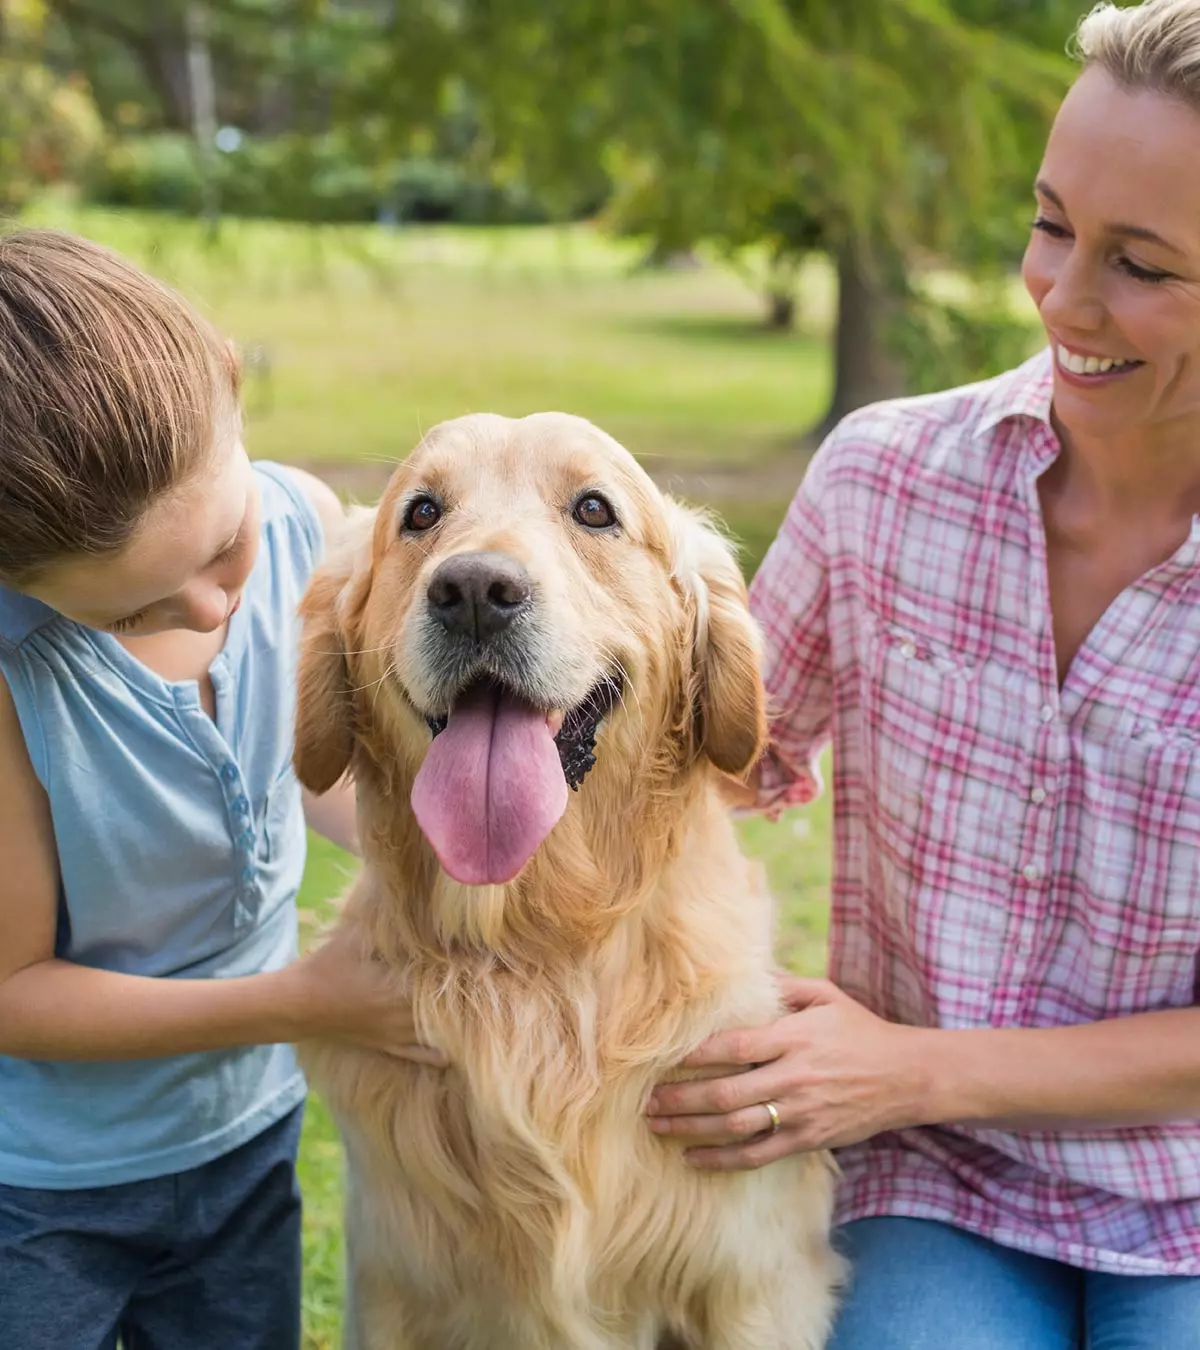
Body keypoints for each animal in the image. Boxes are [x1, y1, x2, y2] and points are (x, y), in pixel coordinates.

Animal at [295, 410, 836, 1350]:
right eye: (421, 512)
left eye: (593, 510)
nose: (475, 589)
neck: (540, 952)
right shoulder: (394, 1284)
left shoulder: (753, 1282)